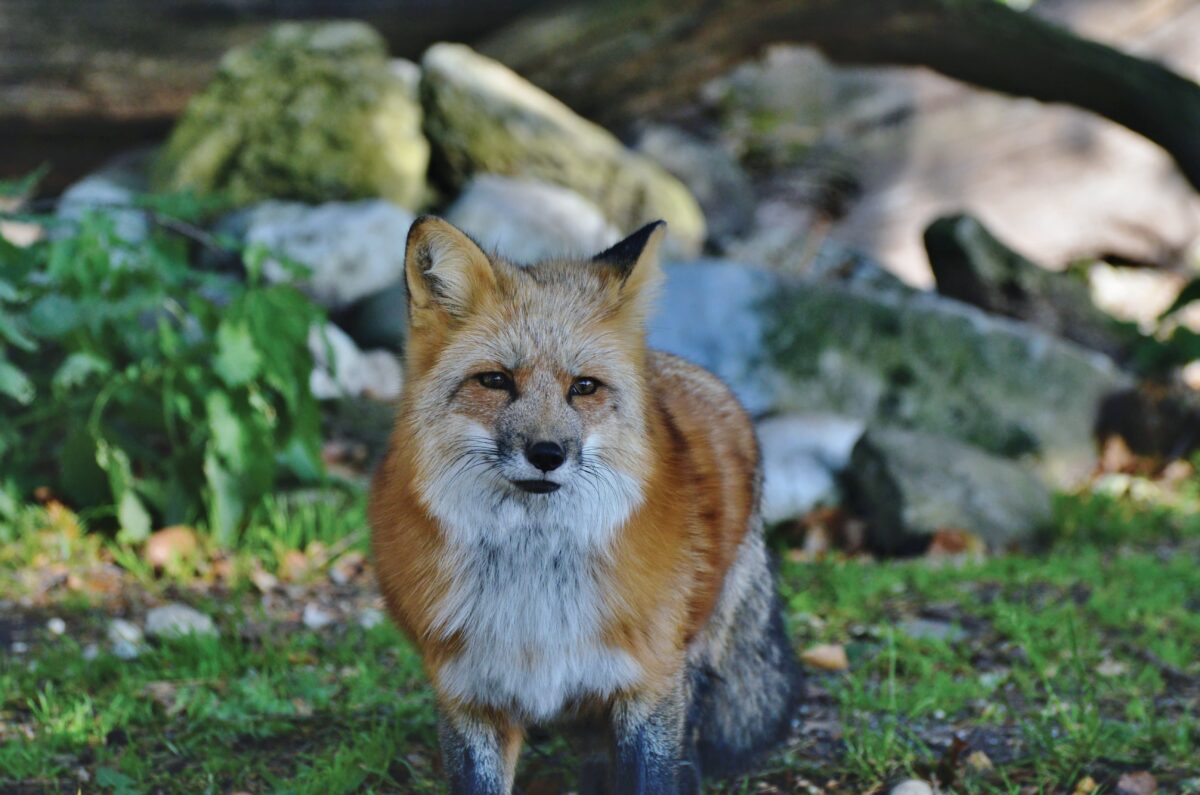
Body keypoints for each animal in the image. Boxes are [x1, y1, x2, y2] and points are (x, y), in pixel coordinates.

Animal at [369, 216, 802, 794]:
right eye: (496, 381)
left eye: (584, 387)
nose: (547, 454)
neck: (534, 594)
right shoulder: (470, 697)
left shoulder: (649, 686)